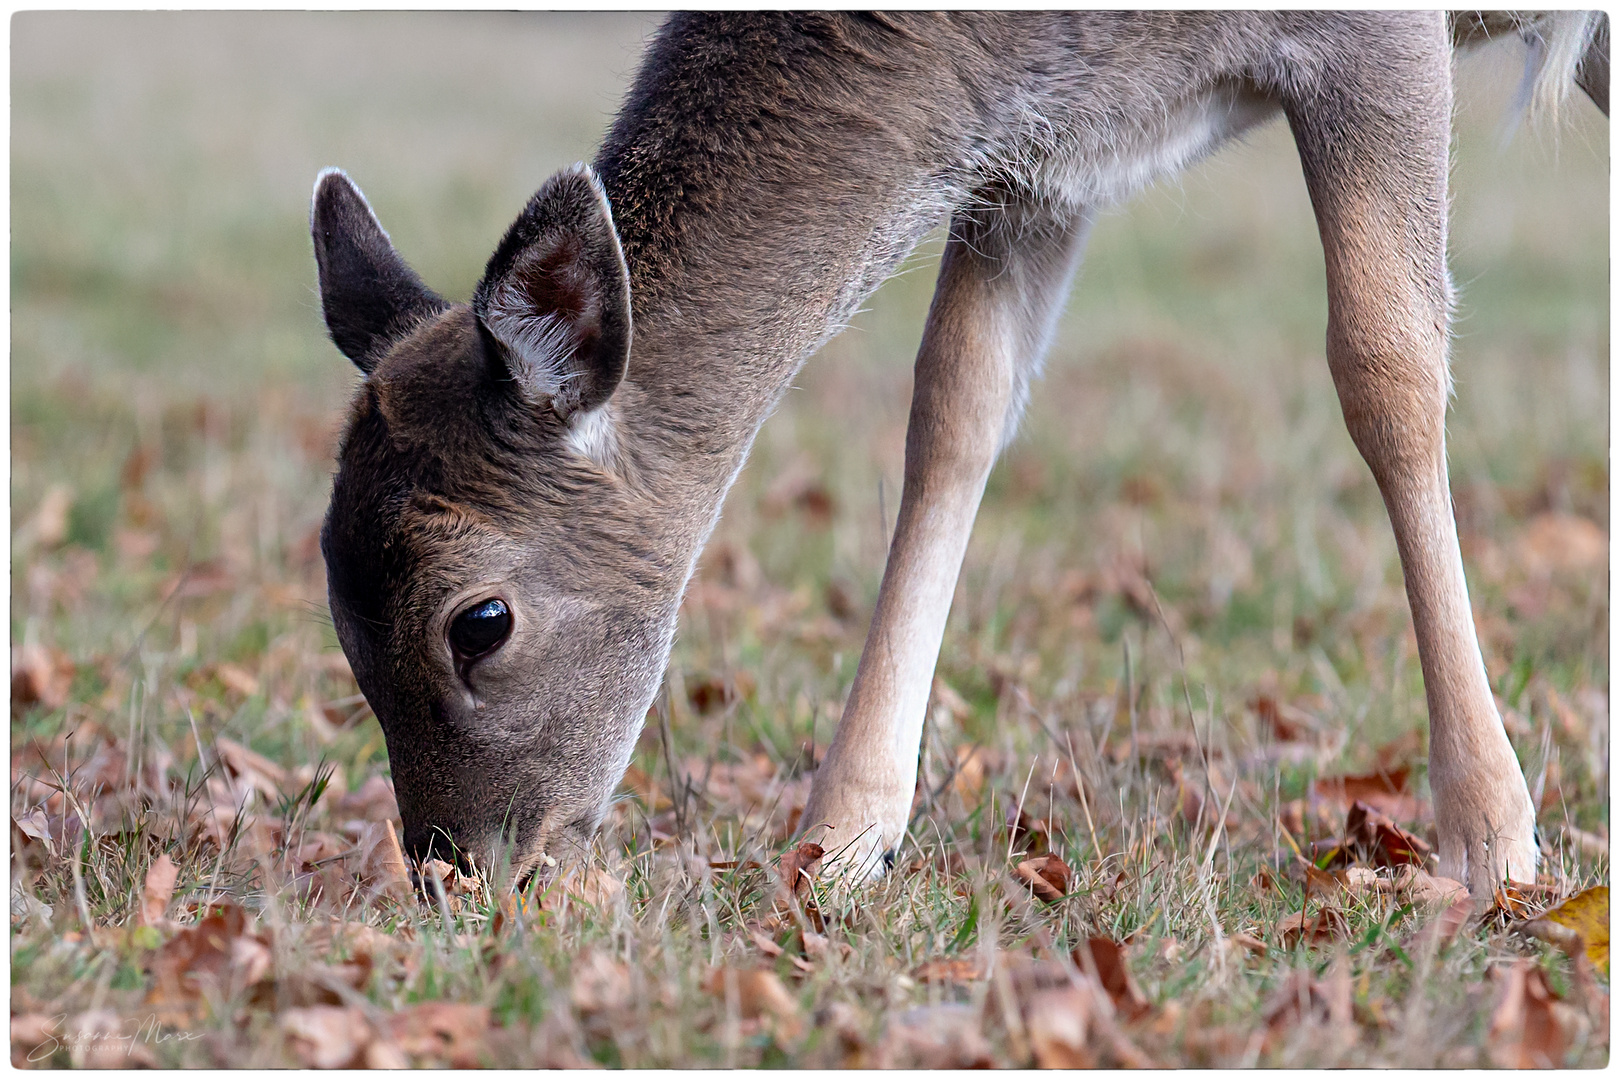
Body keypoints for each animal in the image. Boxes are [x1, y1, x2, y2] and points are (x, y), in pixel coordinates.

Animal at [312, 12, 1607, 900]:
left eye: (480, 621)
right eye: (332, 610)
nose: (457, 874)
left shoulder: (1377, 36)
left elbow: (1387, 367)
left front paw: (1494, 840)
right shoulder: (1043, 157)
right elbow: (956, 407)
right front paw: (841, 841)